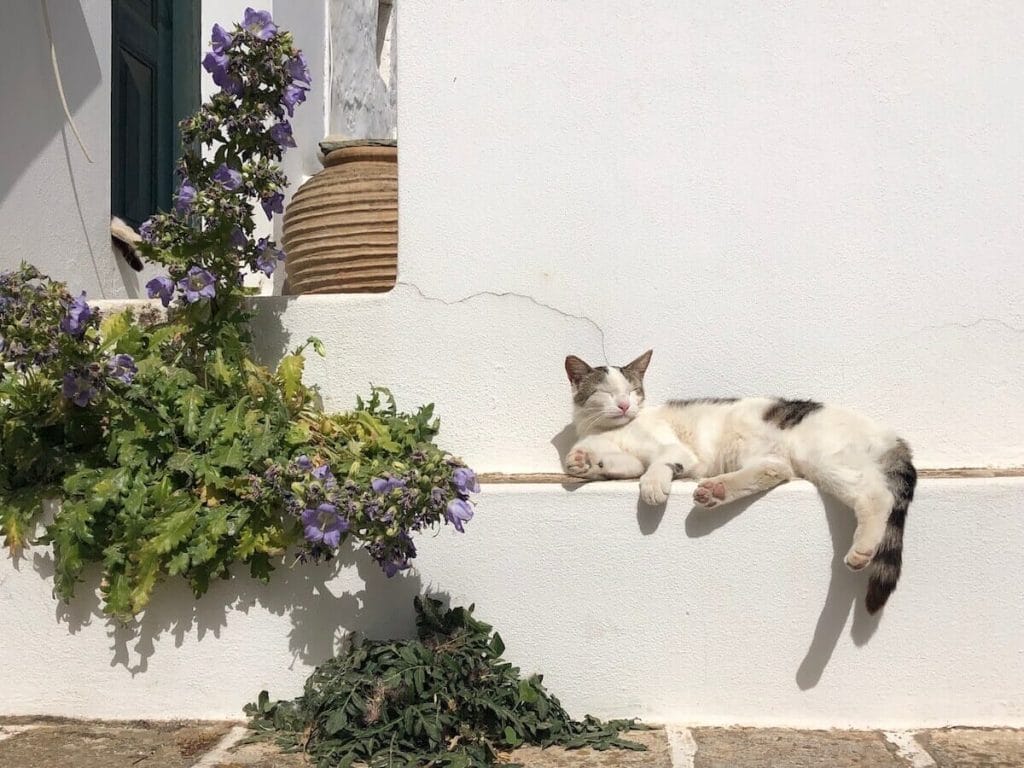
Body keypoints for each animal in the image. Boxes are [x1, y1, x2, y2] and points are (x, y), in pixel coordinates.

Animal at [565, 352, 917, 618]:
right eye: (607, 393)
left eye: (633, 390)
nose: (625, 406)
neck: (611, 431)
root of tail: (892, 437)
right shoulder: (625, 457)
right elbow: (620, 464)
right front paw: (585, 463)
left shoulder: (679, 452)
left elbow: (660, 463)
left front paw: (652, 485)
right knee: (776, 468)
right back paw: (715, 490)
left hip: (823, 458)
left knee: (877, 496)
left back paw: (862, 550)